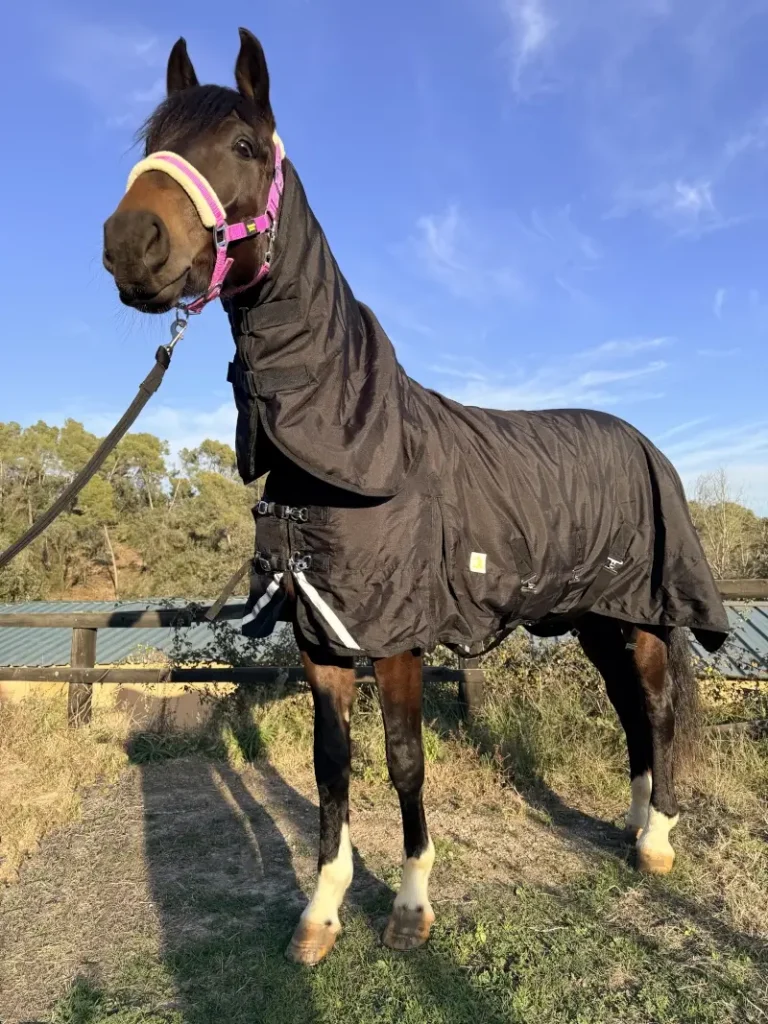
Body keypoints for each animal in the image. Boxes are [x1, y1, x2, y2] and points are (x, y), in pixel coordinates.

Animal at [102, 28, 729, 966]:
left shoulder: (396, 636)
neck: (353, 446)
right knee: (629, 710)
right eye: (150, 143)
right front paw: (320, 913)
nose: (128, 242)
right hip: (595, 618)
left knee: (653, 707)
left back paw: (656, 841)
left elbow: (403, 759)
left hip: (644, 613)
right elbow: (330, 766)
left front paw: (409, 906)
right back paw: (633, 822)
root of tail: (646, 441)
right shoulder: (322, 637)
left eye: (245, 146)